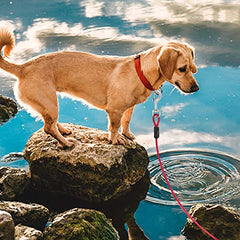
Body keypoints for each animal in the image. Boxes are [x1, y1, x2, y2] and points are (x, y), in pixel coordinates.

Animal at [0, 29, 199, 147]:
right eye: (182, 69)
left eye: (192, 67)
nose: (196, 88)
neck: (141, 70)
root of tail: (23, 67)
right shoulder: (114, 110)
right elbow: (114, 127)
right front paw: (116, 139)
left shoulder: (129, 108)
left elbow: (126, 121)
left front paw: (127, 134)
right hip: (49, 102)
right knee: (48, 128)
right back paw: (66, 143)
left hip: (49, 104)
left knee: (50, 124)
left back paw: (63, 131)